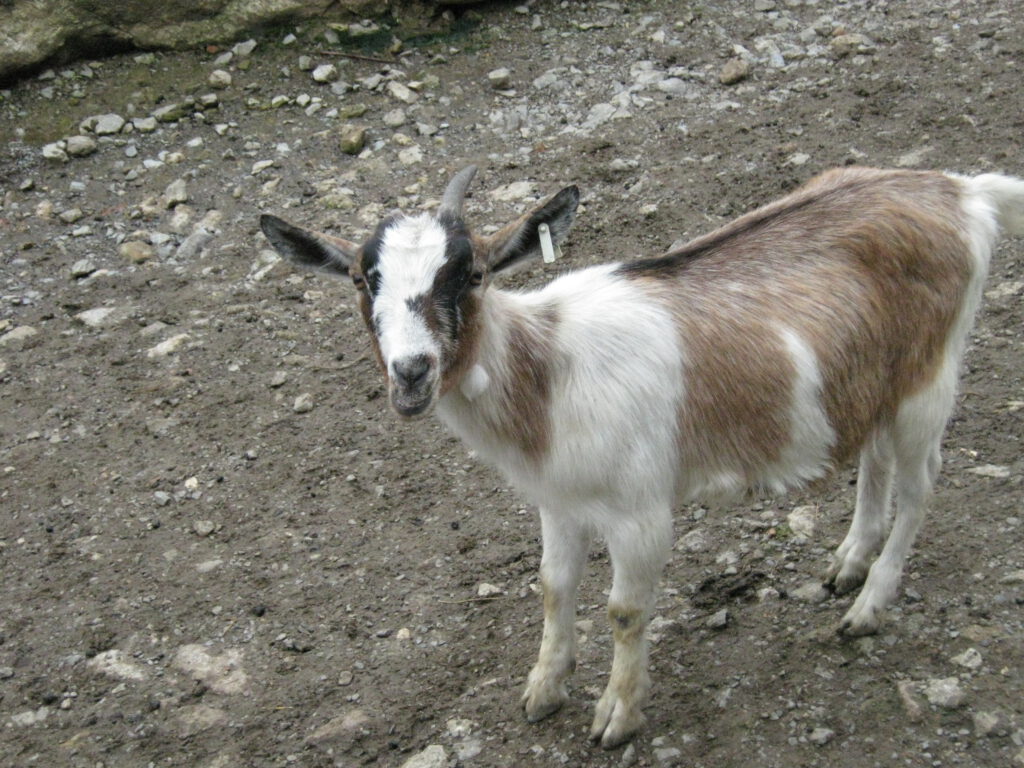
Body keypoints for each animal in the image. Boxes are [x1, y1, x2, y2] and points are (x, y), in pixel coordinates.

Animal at [259, 165, 1024, 748]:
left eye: (472, 272)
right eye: (362, 281)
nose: (412, 373)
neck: (549, 374)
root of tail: (964, 192)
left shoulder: (640, 512)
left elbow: (625, 610)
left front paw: (616, 717)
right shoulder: (558, 502)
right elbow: (552, 585)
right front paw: (543, 690)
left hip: (930, 378)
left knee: (921, 488)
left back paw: (867, 606)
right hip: (874, 383)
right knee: (874, 459)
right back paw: (848, 563)